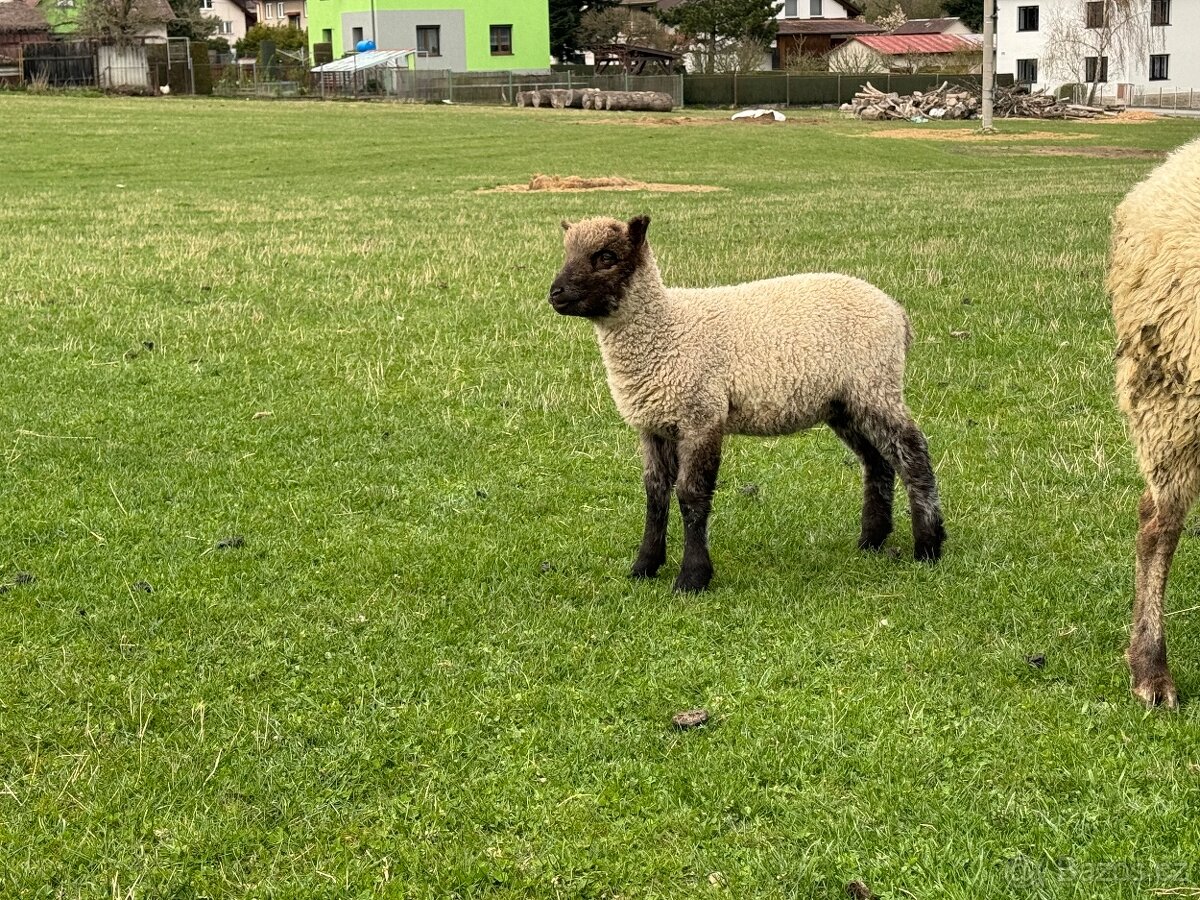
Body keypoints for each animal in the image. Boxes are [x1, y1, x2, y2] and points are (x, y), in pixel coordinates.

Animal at [547, 211, 945, 592]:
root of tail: (897, 312)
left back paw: (928, 546)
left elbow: (692, 496)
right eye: (567, 252)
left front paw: (692, 578)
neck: (667, 329)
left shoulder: (702, 415)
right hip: (845, 403)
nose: (555, 292)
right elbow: (655, 493)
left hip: (874, 384)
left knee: (912, 452)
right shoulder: (654, 425)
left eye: (607, 256)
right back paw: (871, 541)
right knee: (877, 462)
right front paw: (644, 566)